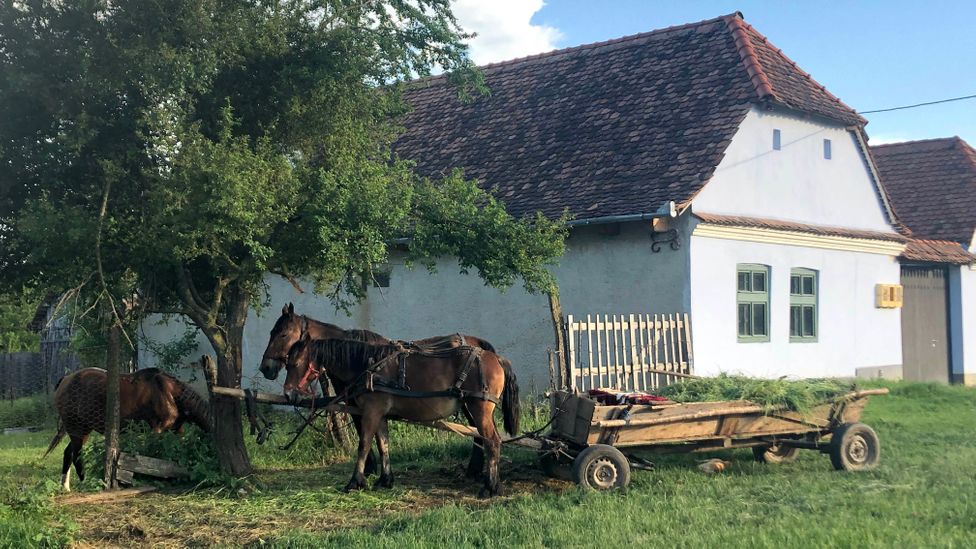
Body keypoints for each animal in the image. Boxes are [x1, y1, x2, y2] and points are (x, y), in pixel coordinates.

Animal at [43, 366, 212, 490]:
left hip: (81, 430)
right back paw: (84, 482)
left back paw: (65, 487)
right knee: (76, 456)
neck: (170, 393)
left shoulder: (176, 430)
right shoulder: (158, 430)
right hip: (78, 430)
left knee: (68, 453)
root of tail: (66, 379)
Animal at [260, 302, 504, 478]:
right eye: (271, 332)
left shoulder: (362, 405)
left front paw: (368, 469)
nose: (265, 368)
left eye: (282, 334)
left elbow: (364, 434)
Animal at [286, 334, 524, 496]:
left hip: (479, 408)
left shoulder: (371, 412)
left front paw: (355, 482)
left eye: (295, 363)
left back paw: (490, 487)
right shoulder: (380, 414)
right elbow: (383, 444)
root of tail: (498, 359)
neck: (369, 366)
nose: (288, 394)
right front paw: (385, 480)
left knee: (492, 441)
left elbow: (364, 445)